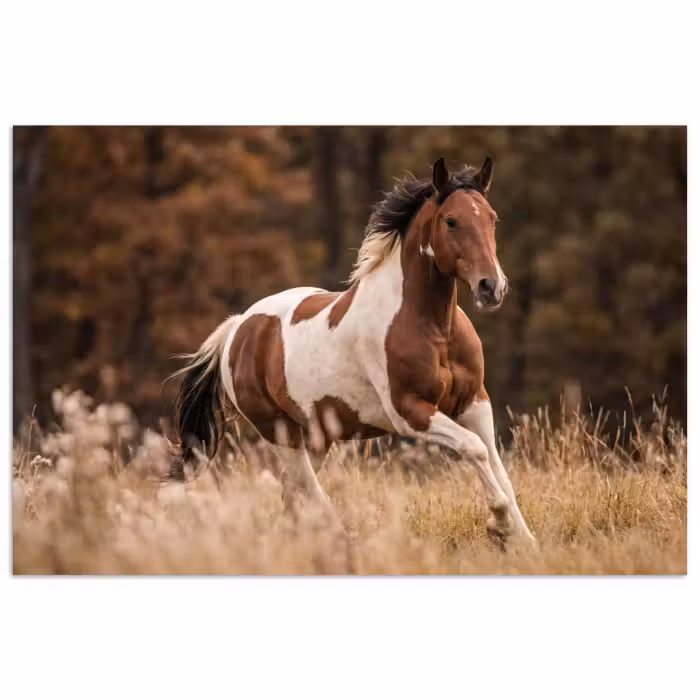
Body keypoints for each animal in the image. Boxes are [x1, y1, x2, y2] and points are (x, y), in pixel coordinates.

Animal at [171, 156, 536, 546]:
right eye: (451, 221)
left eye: (492, 218)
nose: (491, 287)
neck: (433, 328)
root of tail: (238, 327)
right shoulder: (410, 412)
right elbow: (474, 448)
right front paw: (499, 523)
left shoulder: (474, 402)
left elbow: (498, 467)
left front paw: (525, 540)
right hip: (280, 431)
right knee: (305, 490)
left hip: (316, 436)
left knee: (292, 493)